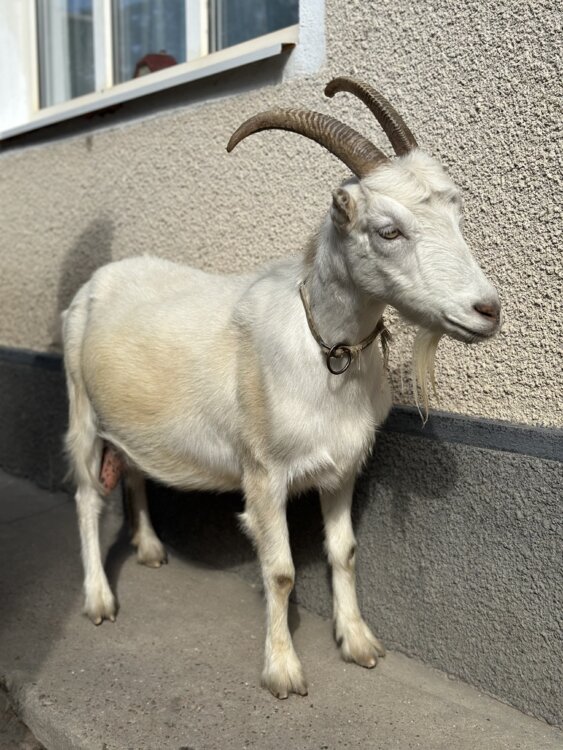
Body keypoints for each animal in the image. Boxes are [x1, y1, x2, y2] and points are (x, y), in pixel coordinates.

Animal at [62, 77, 501, 699]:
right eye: (389, 230)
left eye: (456, 218)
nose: (487, 311)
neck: (324, 352)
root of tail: (98, 281)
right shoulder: (264, 474)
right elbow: (280, 570)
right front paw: (283, 671)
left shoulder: (343, 466)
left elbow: (344, 551)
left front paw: (359, 643)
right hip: (81, 409)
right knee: (85, 495)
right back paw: (100, 600)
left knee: (136, 473)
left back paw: (148, 549)